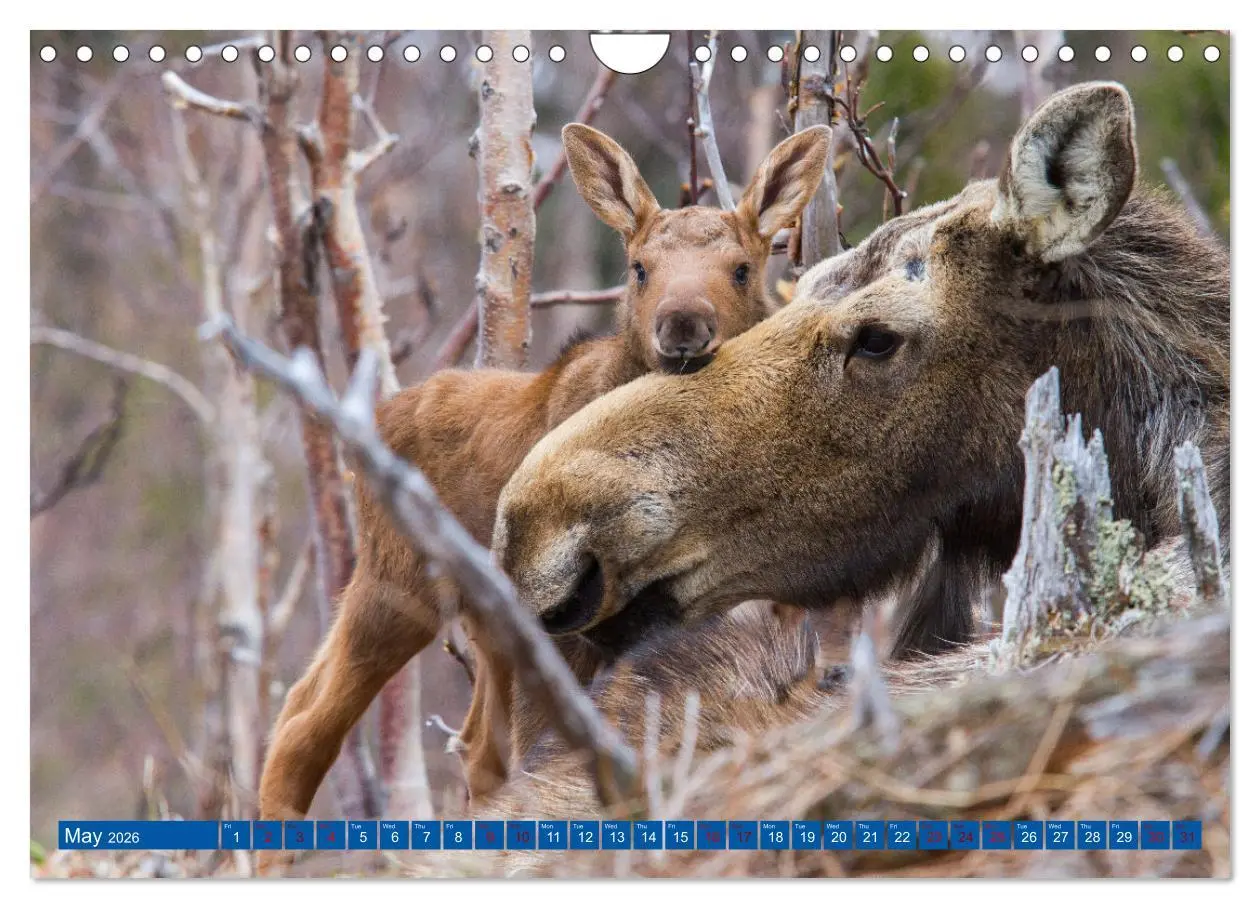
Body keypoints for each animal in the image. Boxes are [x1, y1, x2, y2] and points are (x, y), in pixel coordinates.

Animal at [255, 122, 833, 841]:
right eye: (640, 268)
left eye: (742, 268)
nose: (682, 327)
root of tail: (375, 419)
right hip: (398, 583)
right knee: (304, 728)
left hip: (480, 623)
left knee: (466, 747)